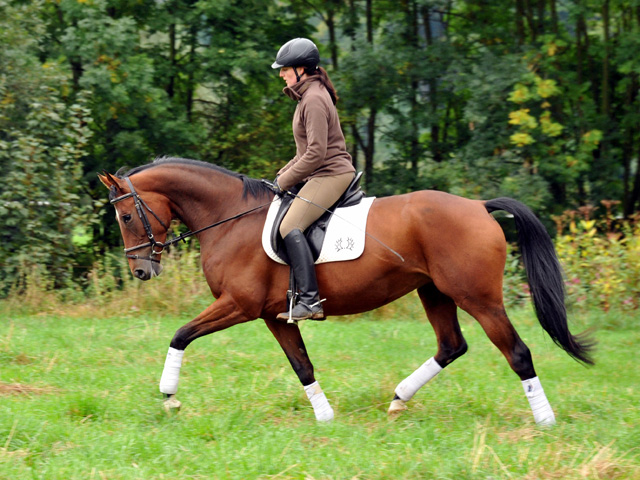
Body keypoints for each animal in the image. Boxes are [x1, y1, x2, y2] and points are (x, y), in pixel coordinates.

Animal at [100, 157, 596, 424]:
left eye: (125, 216)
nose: (141, 270)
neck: (229, 218)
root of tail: (477, 206)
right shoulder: (272, 315)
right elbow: (301, 365)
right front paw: (325, 417)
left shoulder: (237, 305)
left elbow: (181, 334)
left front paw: (169, 395)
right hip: (434, 292)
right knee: (451, 345)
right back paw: (398, 399)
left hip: (479, 298)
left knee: (517, 353)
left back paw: (545, 420)